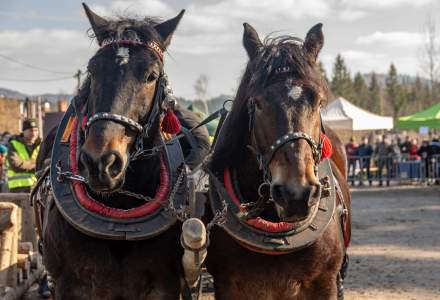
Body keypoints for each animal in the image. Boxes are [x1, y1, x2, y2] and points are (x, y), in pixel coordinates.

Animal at [32, 3, 210, 298]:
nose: (101, 162)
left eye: (151, 75)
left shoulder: (165, 285)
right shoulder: (68, 285)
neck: (119, 204)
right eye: (93, 70)